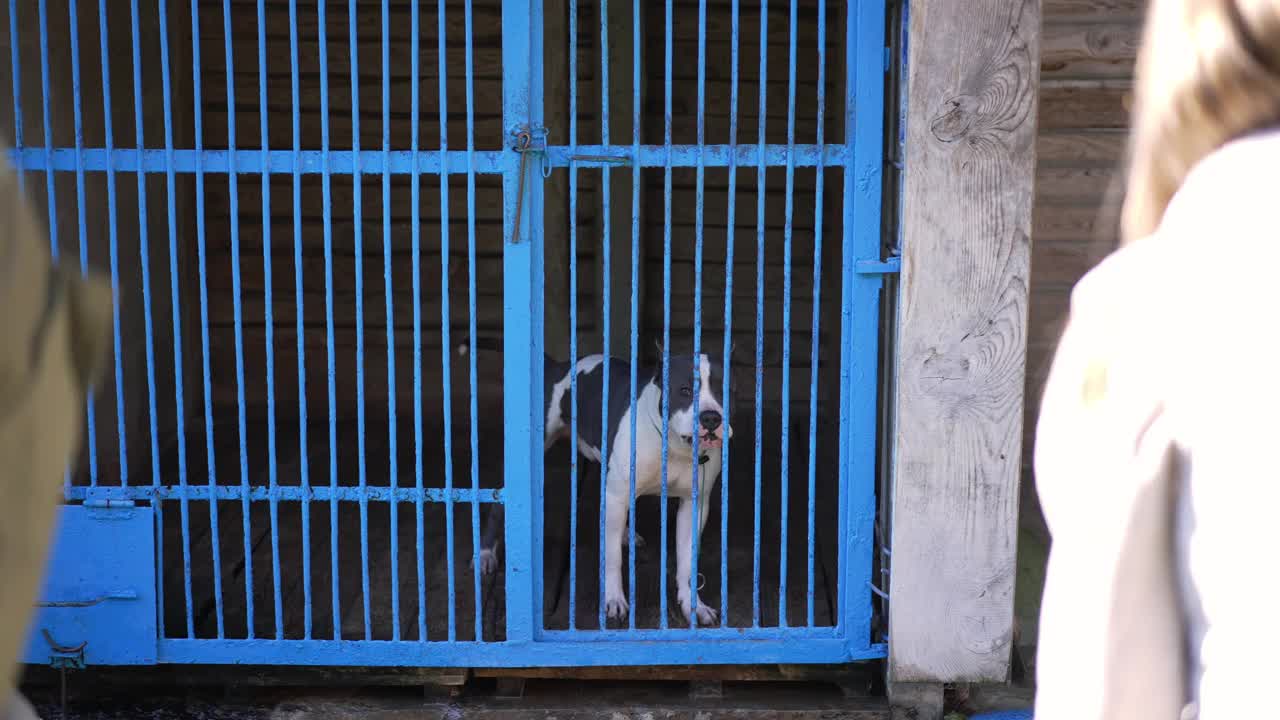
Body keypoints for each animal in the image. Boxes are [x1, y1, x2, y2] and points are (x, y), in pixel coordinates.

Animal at [473, 338, 737, 625]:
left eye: (724, 391)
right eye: (685, 390)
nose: (711, 417)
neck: (675, 446)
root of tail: (559, 367)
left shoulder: (694, 505)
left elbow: (687, 563)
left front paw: (693, 605)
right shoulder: (618, 496)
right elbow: (612, 558)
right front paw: (613, 600)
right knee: (498, 504)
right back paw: (486, 553)